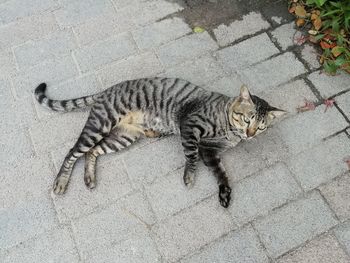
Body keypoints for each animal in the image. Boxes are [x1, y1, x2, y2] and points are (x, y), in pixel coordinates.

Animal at [34, 78, 284, 208]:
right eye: (248, 118)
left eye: (261, 126)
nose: (250, 134)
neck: (230, 133)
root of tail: (107, 90)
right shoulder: (191, 128)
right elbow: (191, 156)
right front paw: (189, 176)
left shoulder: (211, 151)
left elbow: (221, 173)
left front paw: (225, 193)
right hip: (100, 126)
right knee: (73, 151)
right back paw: (61, 182)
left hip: (123, 137)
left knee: (92, 152)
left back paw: (89, 178)